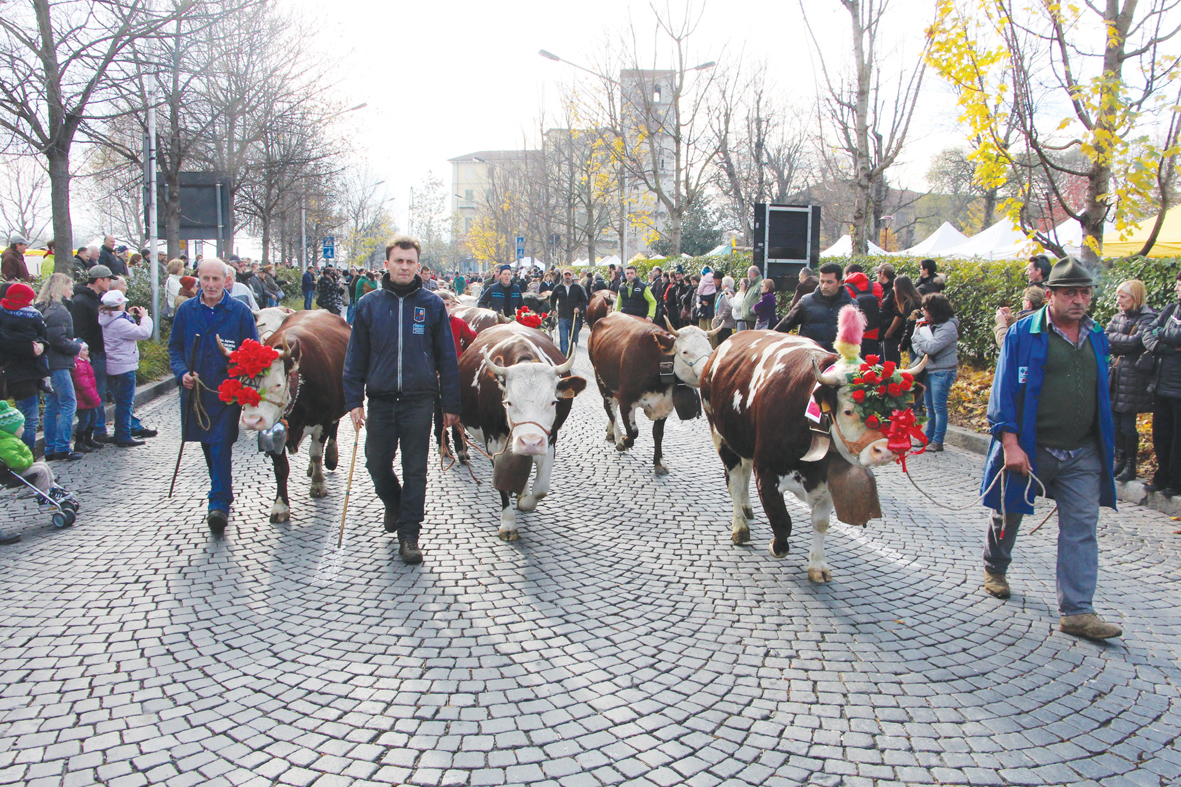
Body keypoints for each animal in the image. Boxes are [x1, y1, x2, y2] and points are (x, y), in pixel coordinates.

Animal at [230, 307, 349, 519]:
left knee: (333, 431)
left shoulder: (323, 420)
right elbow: (280, 468)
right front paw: (280, 506)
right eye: (243, 382)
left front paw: (318, 484)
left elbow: (316, 452)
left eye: (278, 384)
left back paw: (330, 458)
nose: (252, 420)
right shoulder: (271, 429)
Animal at [462, 321, 588, 536]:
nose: (530, 442)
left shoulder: (550, 440)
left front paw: (525, 501)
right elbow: (503, 485)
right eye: (508, 402)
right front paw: (508, 523)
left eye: (553, 402)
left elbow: (541, 488)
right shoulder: (494, 443)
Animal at [585, 311, 713, 472]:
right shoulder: (626, 399)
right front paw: (624, 441)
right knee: (611, 409)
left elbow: (658, 433)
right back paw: (618, 437)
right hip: (601, 380)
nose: (707, 373)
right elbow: (633, 432)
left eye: (711, 351)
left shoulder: (665, 404)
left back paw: (610, 433)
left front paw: (659, 461)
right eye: (685, 352)